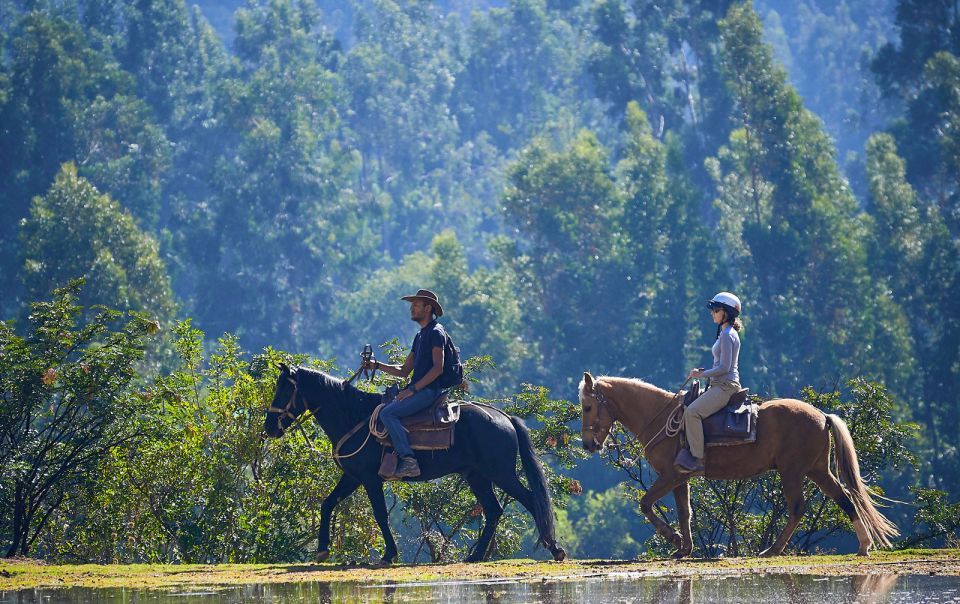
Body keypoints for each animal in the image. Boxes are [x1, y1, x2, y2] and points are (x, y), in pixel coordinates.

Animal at [262, 364, 568, 568]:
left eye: (285, 387)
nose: (269, 427)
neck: (353, 417)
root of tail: (504, 417)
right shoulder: (352, 477)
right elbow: (327, 504)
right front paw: (323, 550)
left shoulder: (369, 479)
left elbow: (380, 515)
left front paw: (389, 554)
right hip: (477, 476)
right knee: (494, 510)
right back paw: (475, 555)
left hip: (501, 473)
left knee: (530, 499)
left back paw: (554, 548)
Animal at [576, 372, 900, 556]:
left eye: (588, 406)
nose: (589, 444)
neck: (661, 416)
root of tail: (822, 415)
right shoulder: (680, 479)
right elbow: (684, 513)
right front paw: (684, 548)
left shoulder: (670, 475)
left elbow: (646, 504)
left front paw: (674, 539)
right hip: (818, 470)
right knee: (844, 499)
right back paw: (864, 545)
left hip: (793, 472)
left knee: (798, 507)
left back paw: (773, 549)